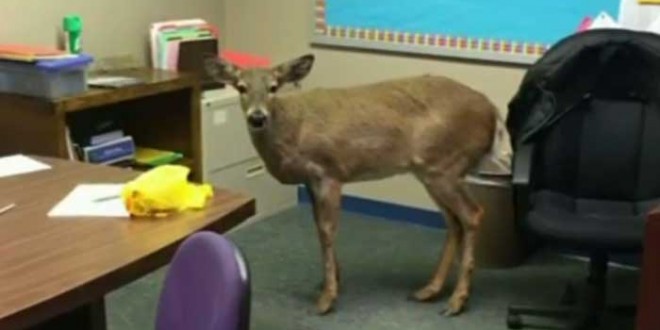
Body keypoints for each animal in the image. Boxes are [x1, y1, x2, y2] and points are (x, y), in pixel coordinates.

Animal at [206, 53, 510, 318]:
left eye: (273, 87)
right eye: (241, 87)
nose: (257, 117)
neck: (293, 131)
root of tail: (492, 111)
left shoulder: (329, 172)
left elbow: (327, 230)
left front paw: (327, 298)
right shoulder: (310, 180)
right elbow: (318, 228)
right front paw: (330, 282)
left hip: (444, 166)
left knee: (472, 214)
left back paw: (457, 301)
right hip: (431, 172)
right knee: (453, 221)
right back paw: (429, 290)